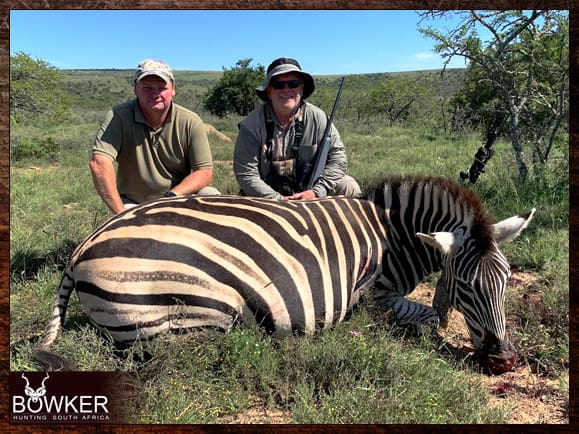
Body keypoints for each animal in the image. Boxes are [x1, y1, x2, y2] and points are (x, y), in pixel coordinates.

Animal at [31, 176, 536, 376]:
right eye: (467, 287)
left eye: (507, 281)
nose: (505, 361)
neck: (395, 238)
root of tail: (83, 248)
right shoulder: (374, 294)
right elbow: (426, 320)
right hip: (198, 312)